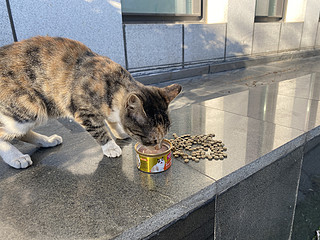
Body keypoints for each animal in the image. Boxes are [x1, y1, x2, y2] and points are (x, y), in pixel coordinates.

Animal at [0, 36, 180, 169]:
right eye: (153, 140)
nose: (158, 149)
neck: (112, 87)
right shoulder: (83, 111)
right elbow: (99, 130)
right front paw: (110, 146)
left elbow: (113, 121)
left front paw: (119, 132)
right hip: (29, 107)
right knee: (5, 132)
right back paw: (16, 157)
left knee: (22, 133)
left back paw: (47, 141)